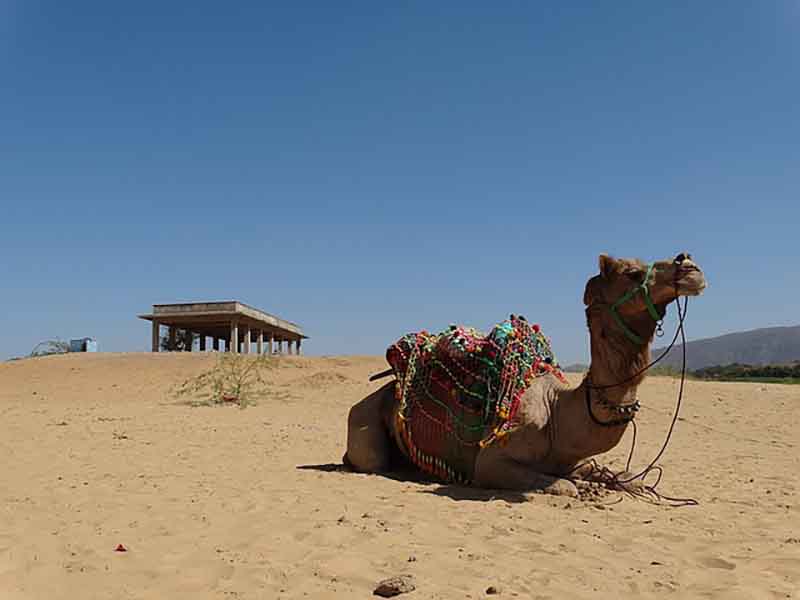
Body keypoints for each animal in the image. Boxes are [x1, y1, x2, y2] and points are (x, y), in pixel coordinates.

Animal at [344, 252, 706, 497]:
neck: (559, 412)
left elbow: (626, 475)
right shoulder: (490, 462)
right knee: (372, 460)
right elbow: (565, 486)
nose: (690, 265)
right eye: (632, 273)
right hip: (364, 424)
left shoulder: (573, 459)